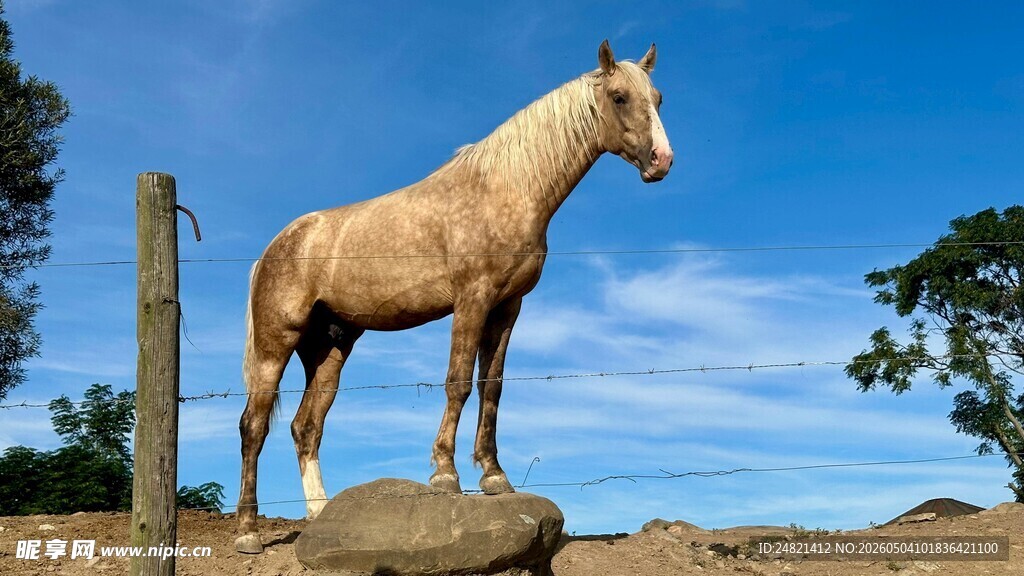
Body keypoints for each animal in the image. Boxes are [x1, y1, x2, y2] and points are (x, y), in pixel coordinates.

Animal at [235, 40, 674, 553]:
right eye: (620, 97)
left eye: (658, 98)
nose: (662, 160)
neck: (507, 188)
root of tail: (274, 247)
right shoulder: (472, 300)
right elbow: (459, 382)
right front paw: (445, 474)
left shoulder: (507, 307)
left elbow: (492, 386)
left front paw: (494, 476)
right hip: (277, 342)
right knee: (254, 426)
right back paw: (247, 531)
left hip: (330, 347)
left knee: (306, 427)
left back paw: (321, 516)